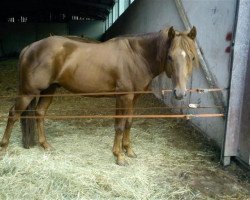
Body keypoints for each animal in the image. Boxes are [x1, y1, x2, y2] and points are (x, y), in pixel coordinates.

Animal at [0, 25, 199, 165]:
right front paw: (119, 156)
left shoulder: (134, 98)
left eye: (191, 57)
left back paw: (46, 146)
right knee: (13, 114)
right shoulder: (124, 97)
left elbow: (128, 123)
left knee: (39, 114)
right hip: (27, 93)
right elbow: (119, 126)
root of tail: (29, 48)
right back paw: (4, 148)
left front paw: (129, 150)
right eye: (170, 57)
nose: (180, 93)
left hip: (49, 90)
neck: (137, 56)